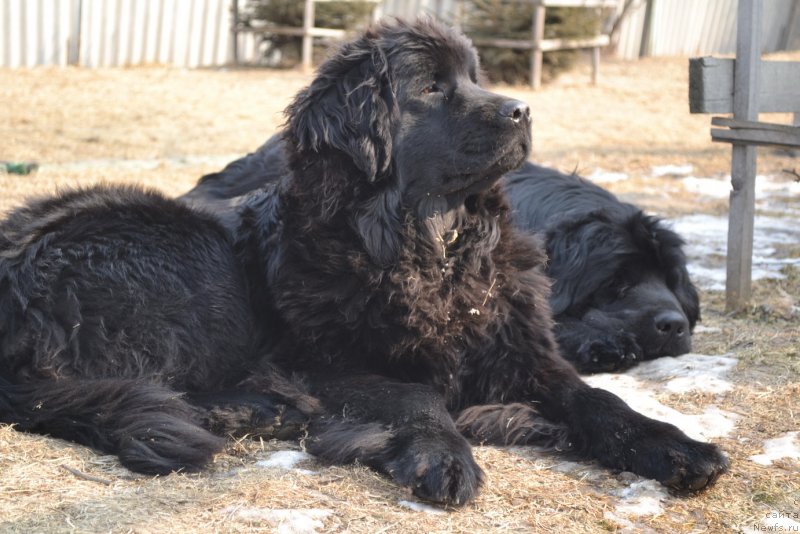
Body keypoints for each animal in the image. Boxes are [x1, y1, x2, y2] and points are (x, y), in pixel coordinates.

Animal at [0, 17, 724, 506]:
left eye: (477, 79)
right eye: (431, 87)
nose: (522, 109)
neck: (427, 248)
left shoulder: (522, 351)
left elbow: (597, 399)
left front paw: (677, 446)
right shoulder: (328, 363)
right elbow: (415, 394)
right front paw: (442, 455)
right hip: (194, 260)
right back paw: (252, 410)